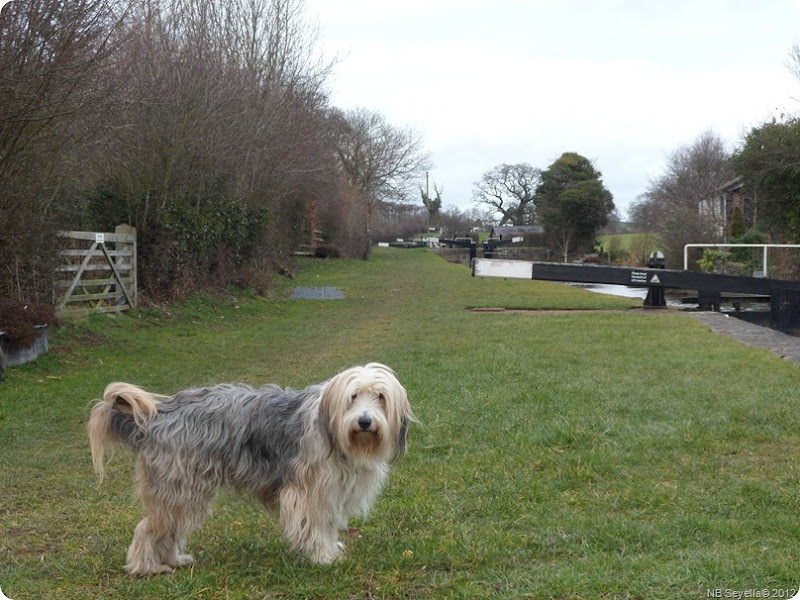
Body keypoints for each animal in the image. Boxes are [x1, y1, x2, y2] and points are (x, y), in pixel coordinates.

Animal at [87, 364, 416, 576]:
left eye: (380, 397)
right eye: (353, 397)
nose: (364, 421)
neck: (333, 430)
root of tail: (156, 416)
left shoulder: (333, 491)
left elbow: (328, 522)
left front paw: (329, 547)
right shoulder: (310, 491)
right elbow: (314, 524)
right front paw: (323, 557)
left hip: (186, 490)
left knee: (168, 529)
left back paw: (174, 560)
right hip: (179, 488)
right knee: (148, 528)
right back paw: (146, 568)